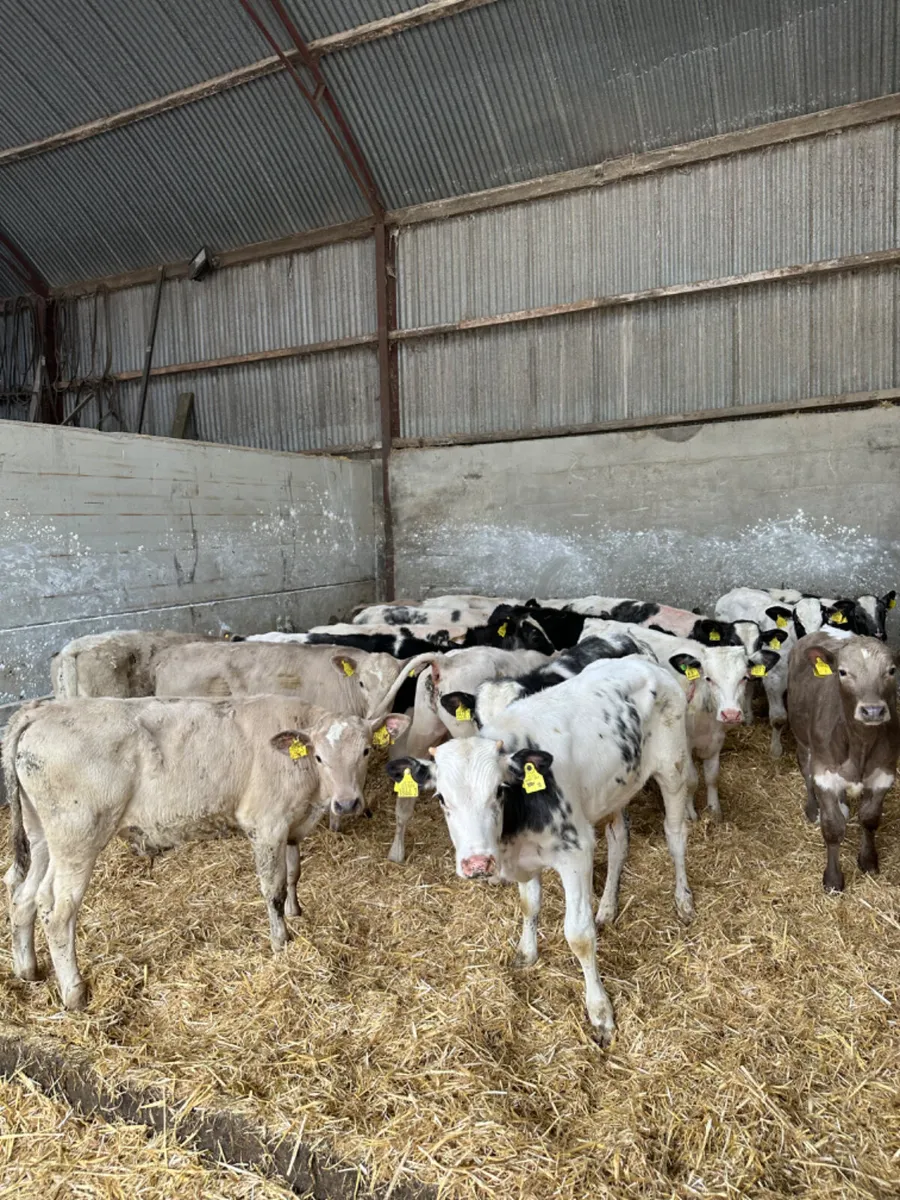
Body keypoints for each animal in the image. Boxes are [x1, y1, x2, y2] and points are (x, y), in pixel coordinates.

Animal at [3, 695, 411, 1009]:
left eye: (366, 751)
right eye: (320, 758)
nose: (347, 804)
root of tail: (41, 710)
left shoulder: (292, 827)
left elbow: (295, 872)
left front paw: (297, 912)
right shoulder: (267, 825)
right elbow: (273, 889)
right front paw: (281, 941)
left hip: (41, 836)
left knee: (23, 896)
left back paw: (28, 970)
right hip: (77, 838)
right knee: (56, 911)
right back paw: (75, 993)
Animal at [385, 657, 694, 1044]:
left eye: (499, 791)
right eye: (442, 798)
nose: (476, 863)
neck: (515, 824)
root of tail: (643, 661)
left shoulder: (575, 853)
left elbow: (579, 935)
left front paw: (599, 1011)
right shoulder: (522, 860)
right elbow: (529, 905)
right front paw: (527, 952)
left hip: (674, 769)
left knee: (675, 836)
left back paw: (683, 899)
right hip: (614, 791)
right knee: (619, 841)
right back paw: (608, 907)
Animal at [578, 619, 781, 819]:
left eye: (744, 677)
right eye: (708, 678)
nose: (730, 713)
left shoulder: (716, 740)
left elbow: (712, 776)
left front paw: (714, 810)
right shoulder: (684, 744)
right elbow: (691, 780)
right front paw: (690, 812)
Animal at [787, 632, 898, 892]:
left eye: (891, 670)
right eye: (842, 672)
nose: (873, 710)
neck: (860, 745)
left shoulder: (884, 773)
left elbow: (869, 819)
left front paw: (868, 861)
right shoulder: (824, 775)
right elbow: (832, 828)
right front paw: (833, 879)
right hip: (803, 742)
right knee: (806, 773)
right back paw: (813, 809)